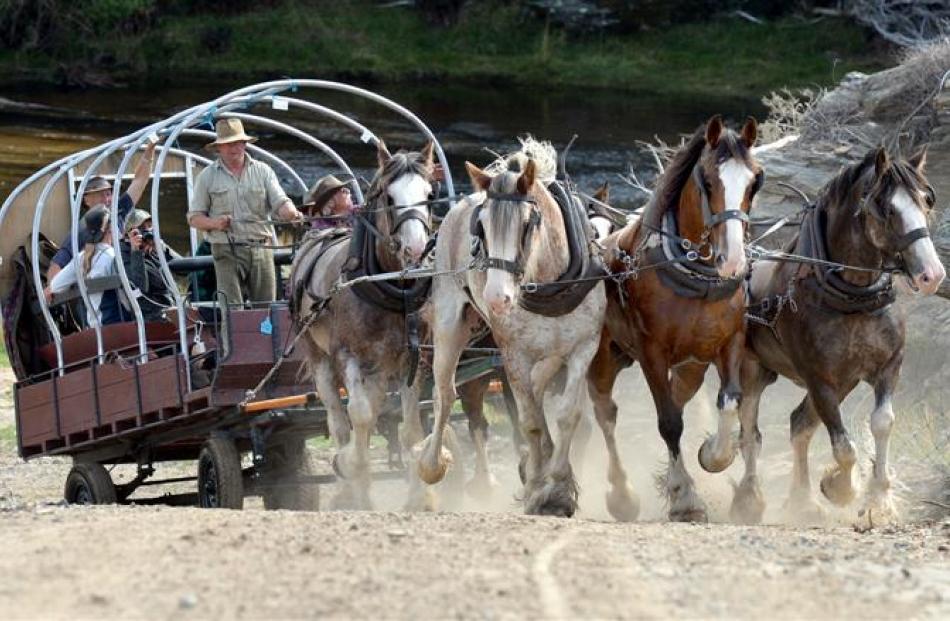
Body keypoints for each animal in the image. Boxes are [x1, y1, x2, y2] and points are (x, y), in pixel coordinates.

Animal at [290, 143, 438, 512]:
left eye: (430, 195)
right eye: (389, 196)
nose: (416, 249)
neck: (389, 286)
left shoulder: (413, 360)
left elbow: (410, 429)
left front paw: (419, 496)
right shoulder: (347, 356)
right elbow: (357, 415)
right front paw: (348, 465)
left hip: (380, 367)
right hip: (319, 358)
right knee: (340, 420)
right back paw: (350, 487)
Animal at [592, 117, 764, 524]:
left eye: (755, 181)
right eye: (708, 181)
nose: (734, 261)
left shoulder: (729, 342)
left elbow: (730, 402)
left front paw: (714, 454)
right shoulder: (651, 352)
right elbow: (668, 422)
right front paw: (686, 498)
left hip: (691, 366)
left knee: (677, 396)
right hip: (606, 355)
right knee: (605, 410)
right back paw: (622, 494)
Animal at [736, 145, 944, 524]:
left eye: (926, 200)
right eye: (887, 208)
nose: (932, 274)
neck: (853, 298)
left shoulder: (888, 367)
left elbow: (883, 422)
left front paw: (878, 500)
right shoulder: (819, 378)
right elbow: (844, 446)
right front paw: (841, 488)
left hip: (844, 379)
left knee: (799, 424)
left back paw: (801, 502)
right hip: (752, 371)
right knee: (749, 433)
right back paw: (747, 498)